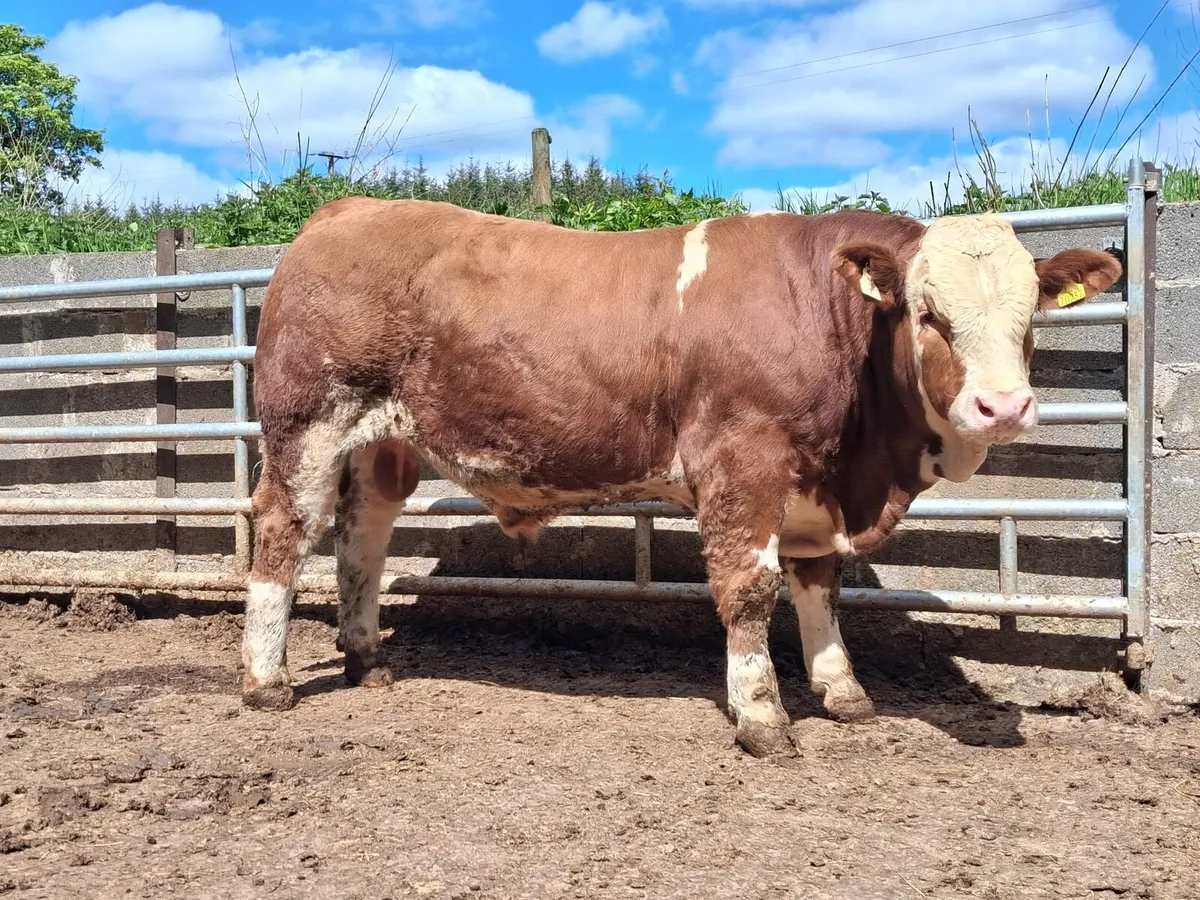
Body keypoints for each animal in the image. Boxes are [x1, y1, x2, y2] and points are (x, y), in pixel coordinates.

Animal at [241, 197, 1122, 758]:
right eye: (927, 313)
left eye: (1031, 317)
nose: (1003, 406)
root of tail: (346, 209)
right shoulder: (743, 461)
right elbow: (749, 589)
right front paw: (763, 718)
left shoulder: (814, 490)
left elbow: (819, 586)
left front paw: (842, 693)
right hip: (307, 424)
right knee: (284, 533)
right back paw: (265, 680)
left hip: (382, 446)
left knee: (362, 542)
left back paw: (367, 662)